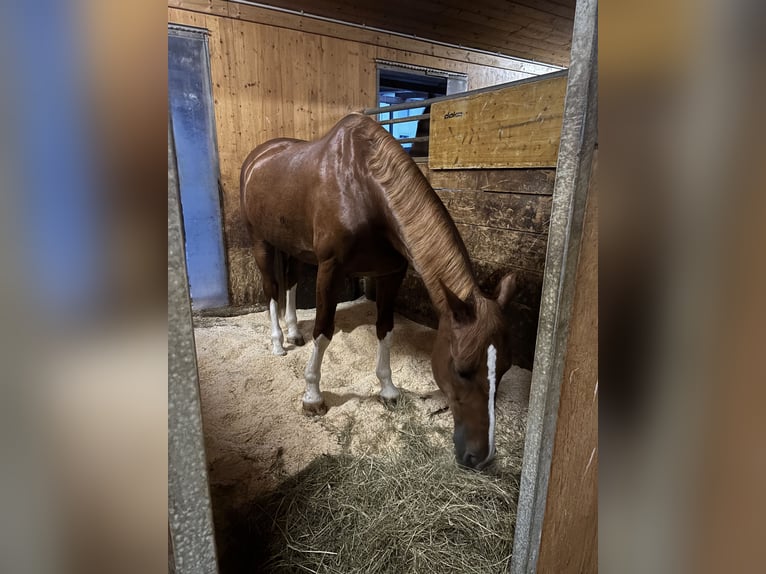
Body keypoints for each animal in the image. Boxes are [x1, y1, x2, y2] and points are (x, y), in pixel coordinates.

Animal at [240, 113, 517, 469]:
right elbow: (323, 331)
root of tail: (259, 156)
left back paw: (292, 333)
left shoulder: (391, 273)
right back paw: (277, 343)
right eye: (461, 369)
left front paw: (388, 389)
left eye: (506, 368)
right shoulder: (330, 269)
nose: (480, 456)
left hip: (292, 245)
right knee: (271, 289)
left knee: (289, 282)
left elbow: (385, 328)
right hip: (261, 241)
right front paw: (312, 397)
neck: (365, 188)